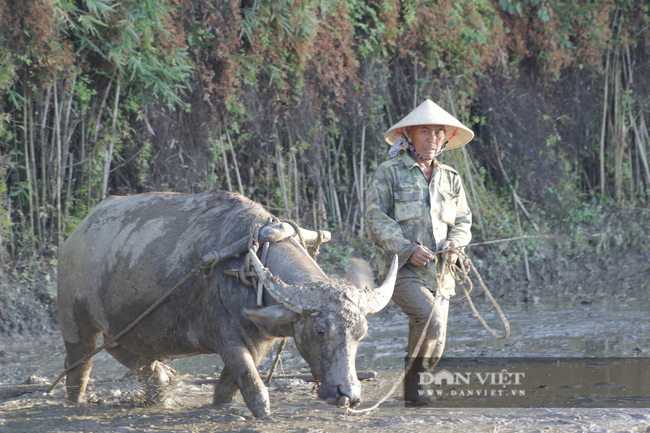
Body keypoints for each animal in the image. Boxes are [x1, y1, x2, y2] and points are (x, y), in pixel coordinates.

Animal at [58, 191, 398, 416]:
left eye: (360, 335)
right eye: (320, 331)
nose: (348, 394)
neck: (250, 265)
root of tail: (74, 236)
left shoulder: (258, 342)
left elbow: (227, 389)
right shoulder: (228, 340)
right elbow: (257, 393)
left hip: (125, 329)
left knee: (126, 352)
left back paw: (160, 385)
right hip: (77, 325)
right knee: (78, 370)